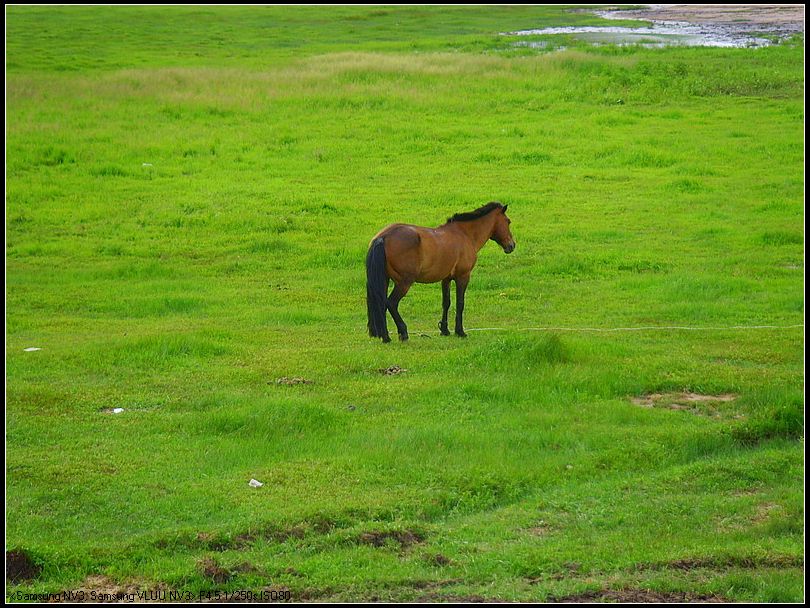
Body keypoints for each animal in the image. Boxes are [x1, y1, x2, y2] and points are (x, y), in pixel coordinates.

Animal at [364, 200, 516, 342]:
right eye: (508, 221)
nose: (512, 245)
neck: (464, 234)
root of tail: (382, 237)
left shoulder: (446, 279)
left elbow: (446, 303)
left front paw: (444, 330)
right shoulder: (463, 277)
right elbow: (460, 303)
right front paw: (460, 331)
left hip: (384, 280)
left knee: (380, 304)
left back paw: (384, 335)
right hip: (404, 282)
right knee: (391, 303)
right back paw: (402, 332)